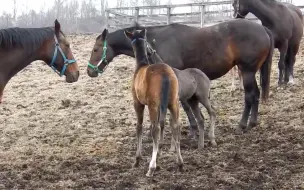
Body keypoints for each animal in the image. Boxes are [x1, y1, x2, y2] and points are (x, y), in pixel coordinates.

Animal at [86, 18, 274, 134]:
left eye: (95, 49)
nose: (90, 71)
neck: (155, 42)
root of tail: (263, 29)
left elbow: (183, 105)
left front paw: (192, 127)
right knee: (256, 94)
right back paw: (252, 122)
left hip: (247, 70)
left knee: (250, 96)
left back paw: (242, 125)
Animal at [125, 29, 184, 177]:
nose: (152, 51)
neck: (141, 66)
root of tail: (165, 74)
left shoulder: (138, 103)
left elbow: (139, 127)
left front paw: (137, 159)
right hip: (173, 103)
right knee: (176, 126)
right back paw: (180, 163)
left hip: (153, 105)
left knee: (155, 129)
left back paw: (151, 167)